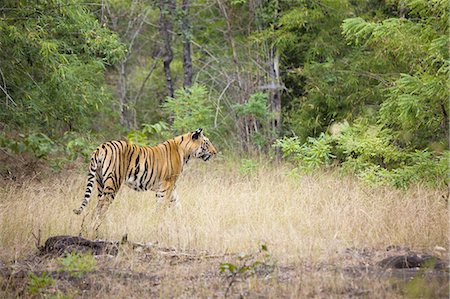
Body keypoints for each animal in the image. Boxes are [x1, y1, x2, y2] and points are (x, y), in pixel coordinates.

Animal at [73, 128, 217, 234]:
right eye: (207, 143)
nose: (215, 152)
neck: (186, 152)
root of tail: (102, 147)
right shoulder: (167, 184)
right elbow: (162, 206)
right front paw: (159, 225)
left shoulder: (171, 187)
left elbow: (177, 204)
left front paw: (182, 221)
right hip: (113, 183)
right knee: (100, 208)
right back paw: (94, 230)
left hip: (100, 183)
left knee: (98, 206)